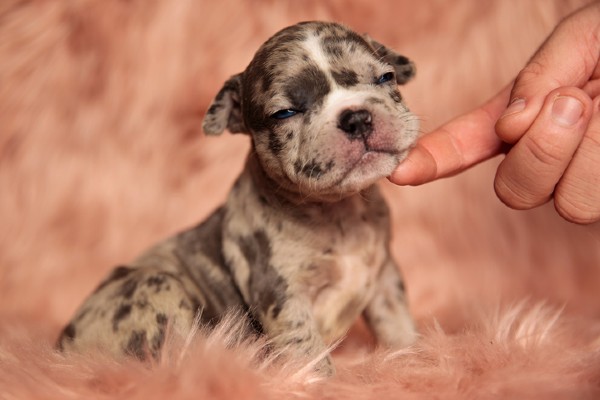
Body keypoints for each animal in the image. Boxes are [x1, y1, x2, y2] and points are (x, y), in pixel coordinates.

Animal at [58, 20, 420, 376]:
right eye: (285, 113)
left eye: (385, 77)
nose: (356, 117)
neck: (339, 209)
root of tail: (63, 348)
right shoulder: (282, 296)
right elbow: (309, 355)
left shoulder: (384, 279)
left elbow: (396, 323)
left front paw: (414, 358)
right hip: (157, 289)